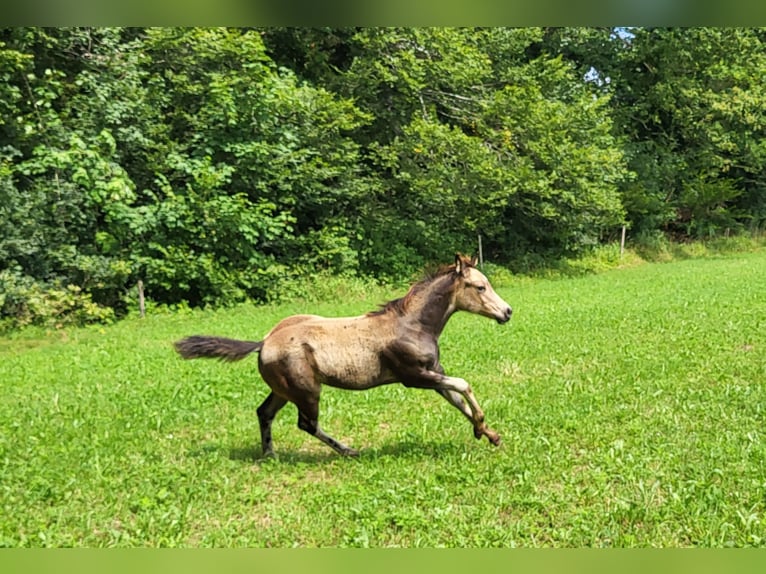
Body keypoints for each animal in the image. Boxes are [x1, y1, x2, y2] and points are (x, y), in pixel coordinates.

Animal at [176, 256, 512, 460]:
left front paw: (489, 434)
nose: (507, 312)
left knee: (264, 412)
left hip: (284, 390)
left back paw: (270, 454)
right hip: (307, 391)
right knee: (306, 423)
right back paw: (348, 450)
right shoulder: (414, 377)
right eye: (480, 287)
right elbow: (464, 384)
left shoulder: (433, 373)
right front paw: (483, 428)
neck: (412, 324)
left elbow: (457, 400)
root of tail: (264, 343)